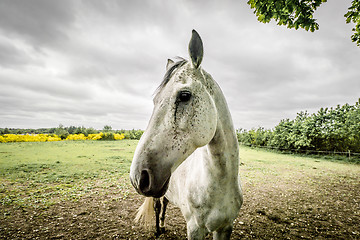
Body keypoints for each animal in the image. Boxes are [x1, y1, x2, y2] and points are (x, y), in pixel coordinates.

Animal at [129, 30, 242, 240]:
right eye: (155, 101)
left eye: (184, 96)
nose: (138, 177)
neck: (220, 184)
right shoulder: (195, 228)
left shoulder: (225, 227)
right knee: (157, 206)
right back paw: (158, 229)